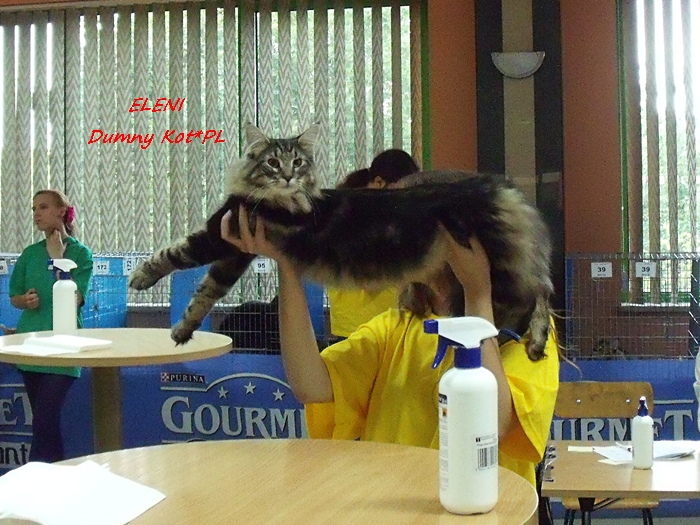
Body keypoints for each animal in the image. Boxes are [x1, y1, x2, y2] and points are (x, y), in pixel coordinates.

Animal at [129, 123, 554, 360]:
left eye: (298, 162)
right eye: (272, 162)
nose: (287, 176)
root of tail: (497, 187)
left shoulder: (221, 235)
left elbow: (176, 253)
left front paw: (141, 276)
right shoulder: (237, 250)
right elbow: (206, 291)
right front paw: (183, 331)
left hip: (494, 272)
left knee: (537, 298)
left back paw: (531, 342)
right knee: (540, 294)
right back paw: (534, 344)